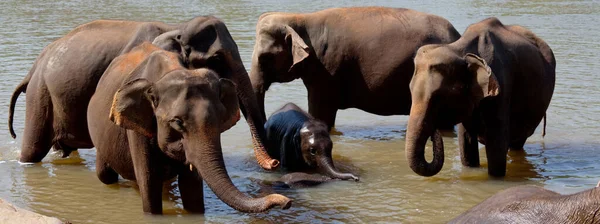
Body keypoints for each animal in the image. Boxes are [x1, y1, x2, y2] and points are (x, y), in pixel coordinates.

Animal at [8, 15, 278, 170]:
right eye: (217, 59)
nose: (275, 163)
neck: (175, 27)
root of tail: (34, 68)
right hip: (40, 94)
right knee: (33, 149)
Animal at [86, 42, 290, 214]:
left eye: (220, 119)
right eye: (177, 122)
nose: (287, 201)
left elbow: (191, 190)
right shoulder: (137, 132)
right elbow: (149, 186)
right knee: (106, 175)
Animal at [406, 17, 556, 178]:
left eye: (439, 96)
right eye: (410, 91)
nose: (435, 131)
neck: (460, 49)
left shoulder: (501, 85)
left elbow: (497, 143)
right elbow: (466, 142)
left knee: (517, 142)